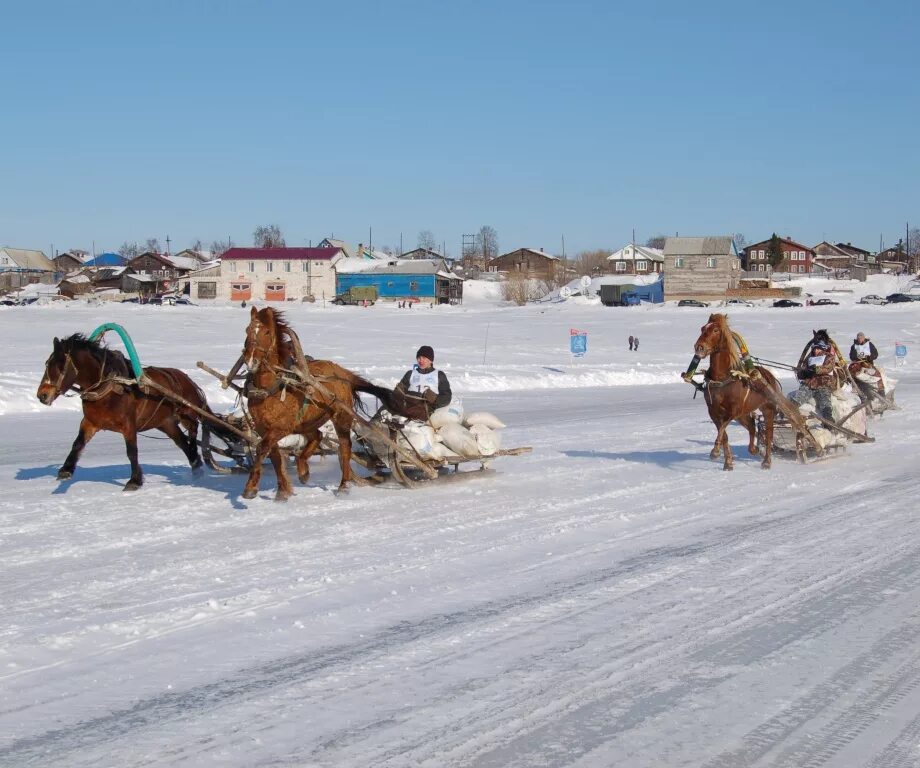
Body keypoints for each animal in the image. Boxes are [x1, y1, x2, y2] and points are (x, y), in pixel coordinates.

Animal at [36, 334, 211, 492]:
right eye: (47, 363)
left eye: (60, 366)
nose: (42, 395)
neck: (109, 389)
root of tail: (189, 381)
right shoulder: (90, 422)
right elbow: (78, 443)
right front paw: (66, 469)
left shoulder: (129, 425)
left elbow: (132, 452)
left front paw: (134, 481)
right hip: (165, 423)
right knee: (182, 443)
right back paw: (196, 467)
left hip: (187, 414)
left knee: (193, 432)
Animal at [241, 306, 410, 504]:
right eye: (247, 330)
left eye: (267, 332)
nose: (250, 361)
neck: (270, 388)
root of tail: (343, 373)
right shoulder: (263, 427)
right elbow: (273, 454)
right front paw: (283, 490)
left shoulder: (281, 427)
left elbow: (261, 449)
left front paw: (250, 488)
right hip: (308, 421)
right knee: (318, 435)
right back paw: (303, 469)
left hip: (341, 416)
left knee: (344, 447)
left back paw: (343, 485)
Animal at [688, 310, 784, 468]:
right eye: (702, 328)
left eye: (715, 330)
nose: (699, 347)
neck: (722, 379)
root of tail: (769, 376)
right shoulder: (713, 411)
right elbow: (724, 434)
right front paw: (728, 461)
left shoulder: (734, 410)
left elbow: (723, 428)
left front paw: (715, 451)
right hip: (743, 414)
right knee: (752, 426)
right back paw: (753, 449)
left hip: (767, 409)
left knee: (769, 434)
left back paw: (767, 461)